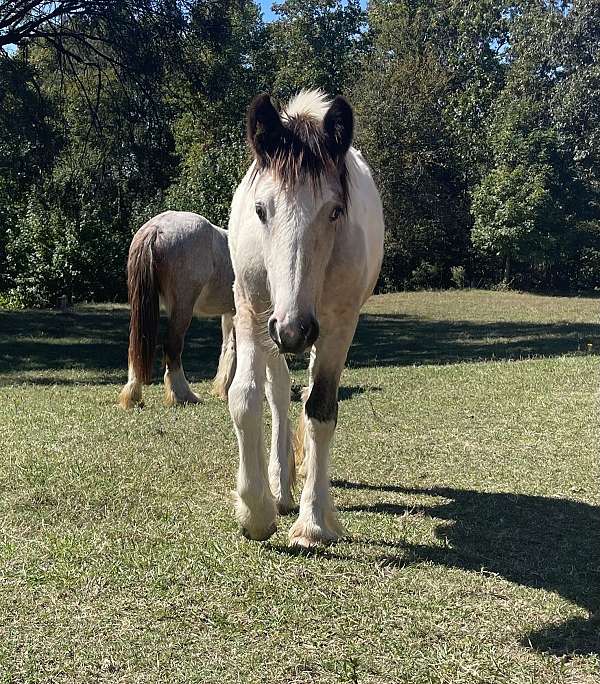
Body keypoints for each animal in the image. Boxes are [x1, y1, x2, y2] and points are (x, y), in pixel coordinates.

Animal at [118, 211, 236, 408]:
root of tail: (156, 228)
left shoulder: (230, 312)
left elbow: (229, 347)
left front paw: (224, 389)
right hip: (183, 306)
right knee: (172, 346)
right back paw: (183, 395)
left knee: (135, 348)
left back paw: (133, 394)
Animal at [225, 91, 384, 548]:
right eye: (261, 209)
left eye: (334, 211)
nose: (294, 330)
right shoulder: (251, 311)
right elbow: (245, 398)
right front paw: (256, 511)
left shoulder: (338, 325)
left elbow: (320, 410)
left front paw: (312, 523)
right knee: (278, 395)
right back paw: (279, 488)